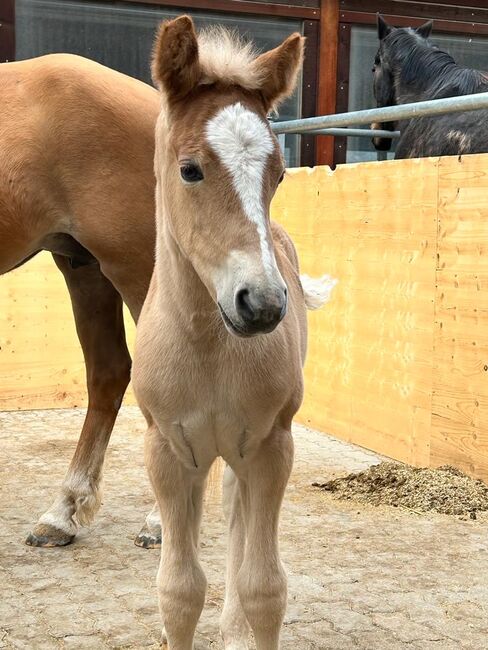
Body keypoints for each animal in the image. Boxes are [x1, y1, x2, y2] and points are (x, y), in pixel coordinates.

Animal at [132, 15, 334, 648]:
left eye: (279, 173)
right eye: (190, 169)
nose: (263, 304)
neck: (208, 345)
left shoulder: (272, 447)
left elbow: (265, 587)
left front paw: (245, 620)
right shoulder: (169, 451)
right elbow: (178, 591)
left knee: (237, 518)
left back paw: (233, 625)